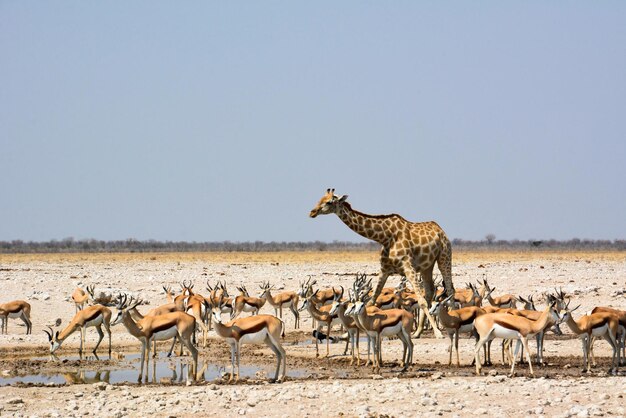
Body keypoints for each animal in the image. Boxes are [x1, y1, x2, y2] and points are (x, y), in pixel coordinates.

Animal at [308, 188, 450, 338]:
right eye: (320, 199)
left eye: (329, 202)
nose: (312, 212)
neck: (385, 237)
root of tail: (439, 229)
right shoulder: (384, 270)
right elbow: (372, 299)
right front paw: (348, 333)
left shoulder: (408, 268)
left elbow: (421, 301)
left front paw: (438, 333)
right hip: (426, 266)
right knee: (430, 291)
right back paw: (417, 332)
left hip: (444, 257)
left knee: (449, 288)